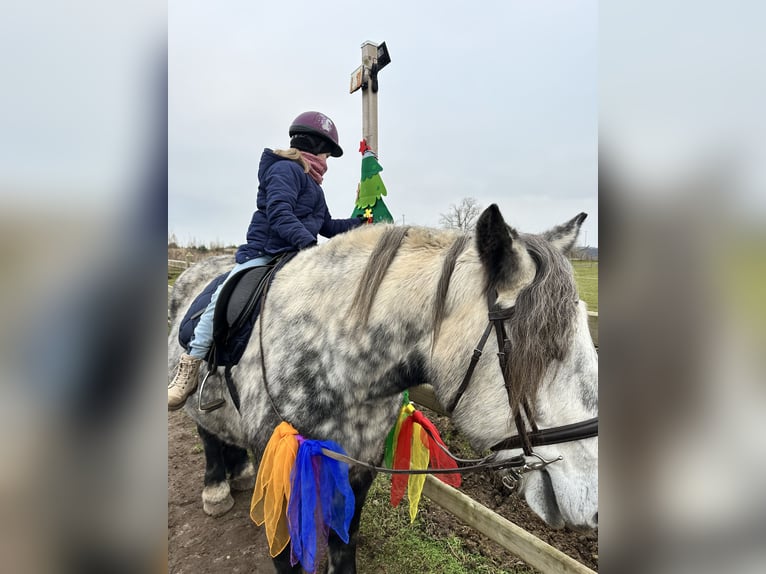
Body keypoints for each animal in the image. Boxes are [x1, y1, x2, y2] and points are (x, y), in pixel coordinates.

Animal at [167, 204, 598, 573]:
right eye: (545, 349)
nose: (594, 505)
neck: (334, 360)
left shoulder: (361, 464)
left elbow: (344, 541)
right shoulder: (281, 468)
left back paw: (239, 472)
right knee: (206, 431)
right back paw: (216, 489)